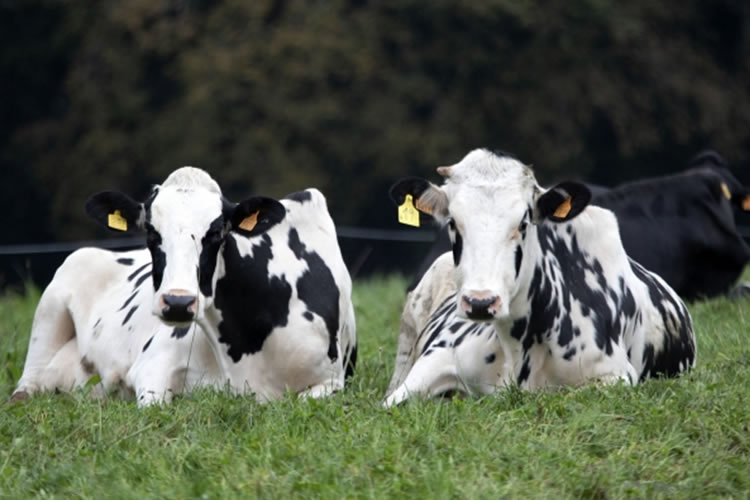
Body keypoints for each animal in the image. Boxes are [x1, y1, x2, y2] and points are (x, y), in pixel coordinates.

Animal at [11, 167, 357, 405]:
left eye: (216, 232)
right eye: (151, 232)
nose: (178, 303)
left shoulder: (332, 382)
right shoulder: (152, 368)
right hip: (51, 305)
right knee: (27, 384)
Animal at [385, 149, 696, 406]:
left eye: (523, 223)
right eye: (452, 222)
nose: (480, 303)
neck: (518, 346)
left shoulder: (615, 375)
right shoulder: (438, 356)